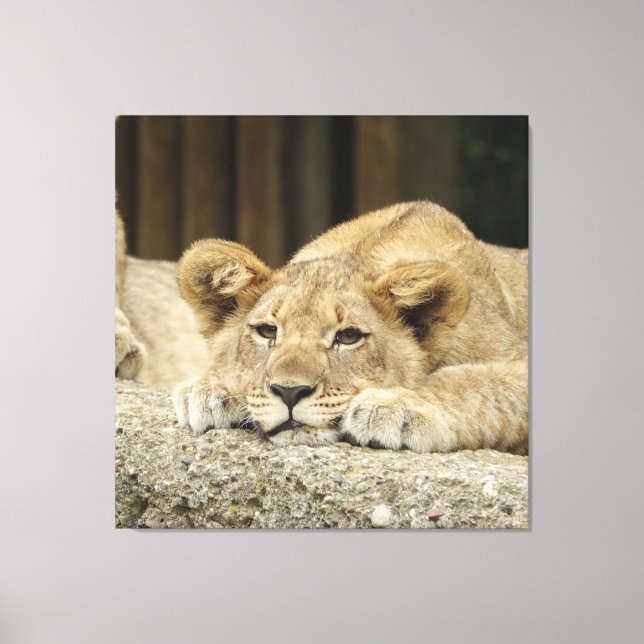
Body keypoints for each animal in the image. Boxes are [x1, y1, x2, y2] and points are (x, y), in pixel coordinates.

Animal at [169, 201, 528, 454]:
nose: (289, 392)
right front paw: (209, 389)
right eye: (268, 331)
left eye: (348, 337)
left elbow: (475, 384)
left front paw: (394, 405)